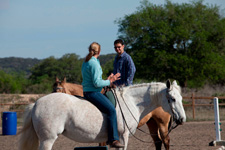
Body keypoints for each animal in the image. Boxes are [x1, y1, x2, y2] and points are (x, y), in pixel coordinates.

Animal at [19, 79, 185, 149]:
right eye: (172, 99)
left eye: (181, 98)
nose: (182, 119)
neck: (131, 101)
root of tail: (36, 103)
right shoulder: (123, 137)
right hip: (48, 139)